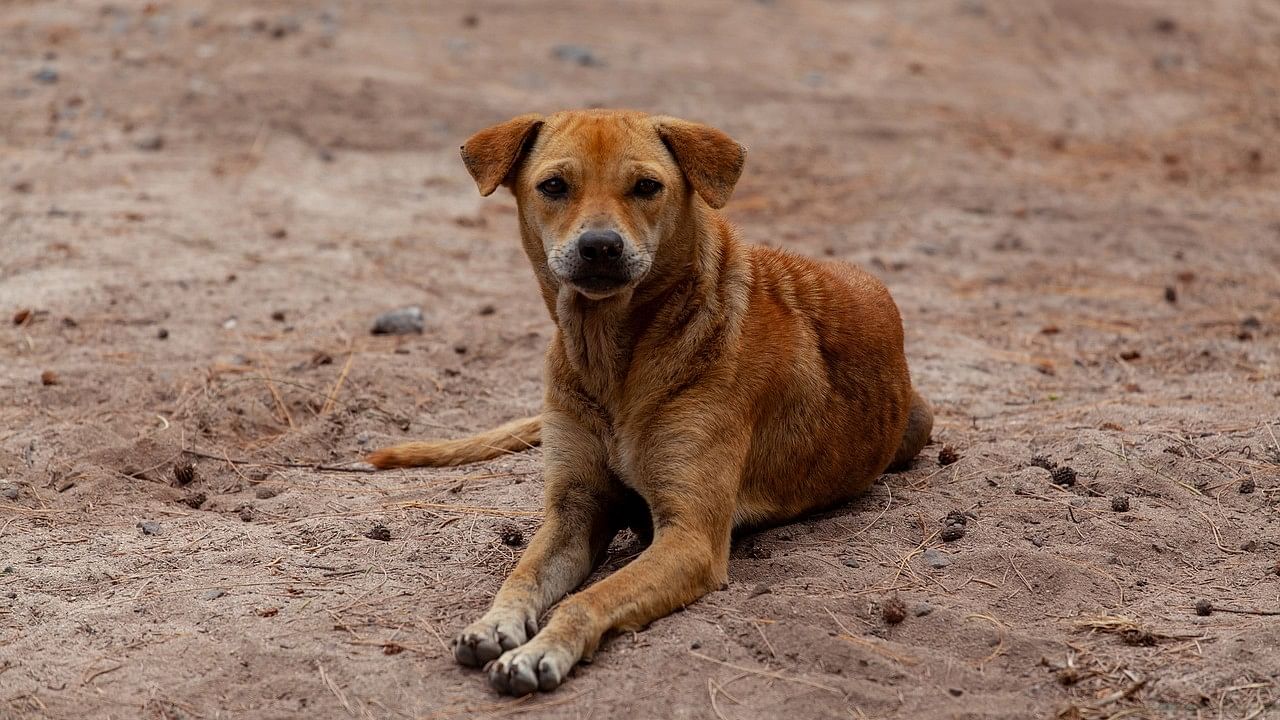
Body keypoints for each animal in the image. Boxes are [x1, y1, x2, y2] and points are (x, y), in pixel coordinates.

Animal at [366, 109, 936, 691]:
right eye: (554, 186)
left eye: (646, 187)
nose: (600, 246)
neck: (612, 358)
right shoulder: (574, 511)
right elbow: (521, 575)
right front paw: (494, 623)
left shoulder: (690, 538)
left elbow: (588, 599)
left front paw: (541, 649)